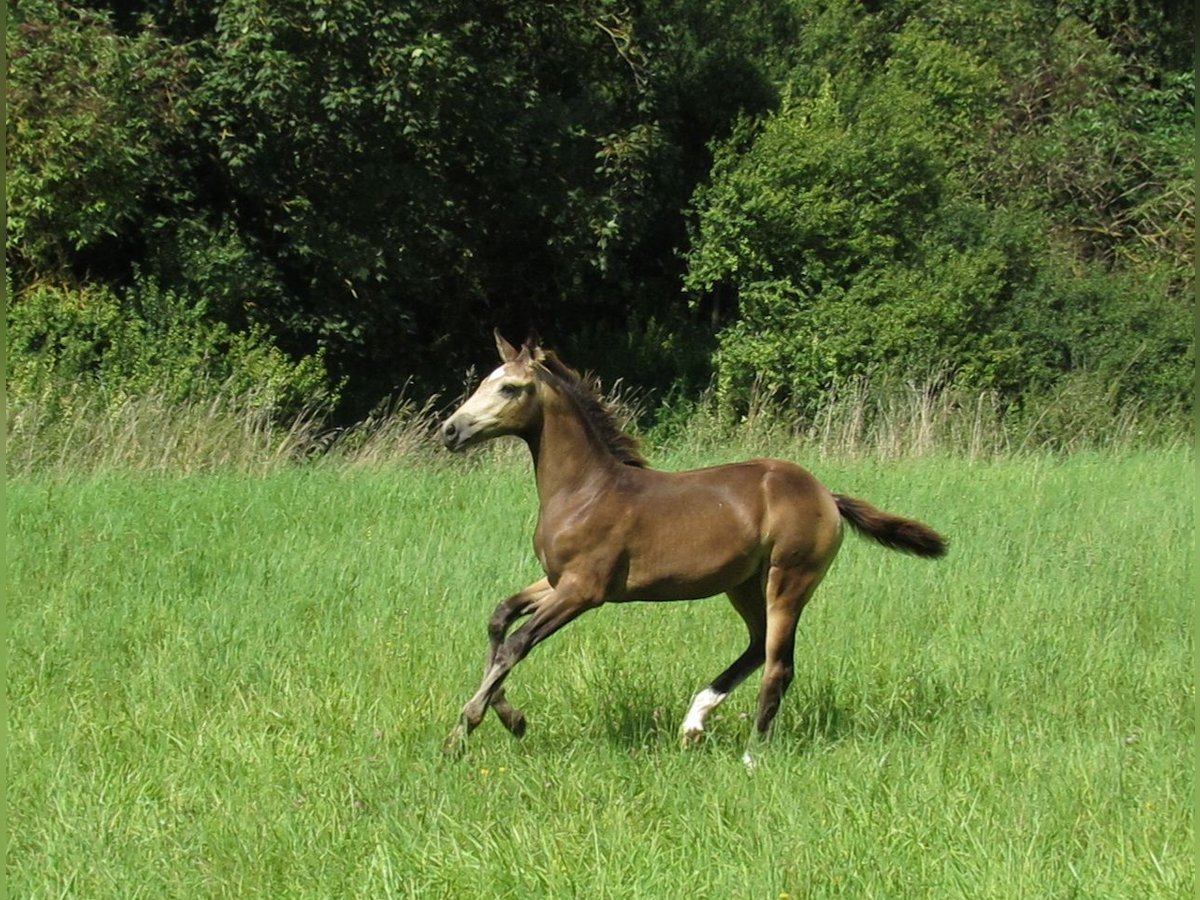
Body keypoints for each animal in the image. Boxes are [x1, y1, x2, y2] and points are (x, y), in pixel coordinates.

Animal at [441, 333, 945, 763]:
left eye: (509, 388)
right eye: (484, 381)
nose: (450, 430)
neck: (585, 490)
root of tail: (826, 495)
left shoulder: (584, 590)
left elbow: (516, 644)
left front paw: (464, 728)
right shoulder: (556, 581)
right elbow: (500, 618)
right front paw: (511, 719)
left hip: (789, 579)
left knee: (779, 665)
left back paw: (751, 755)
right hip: (743, 584)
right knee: (758, 647)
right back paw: (694, 721)